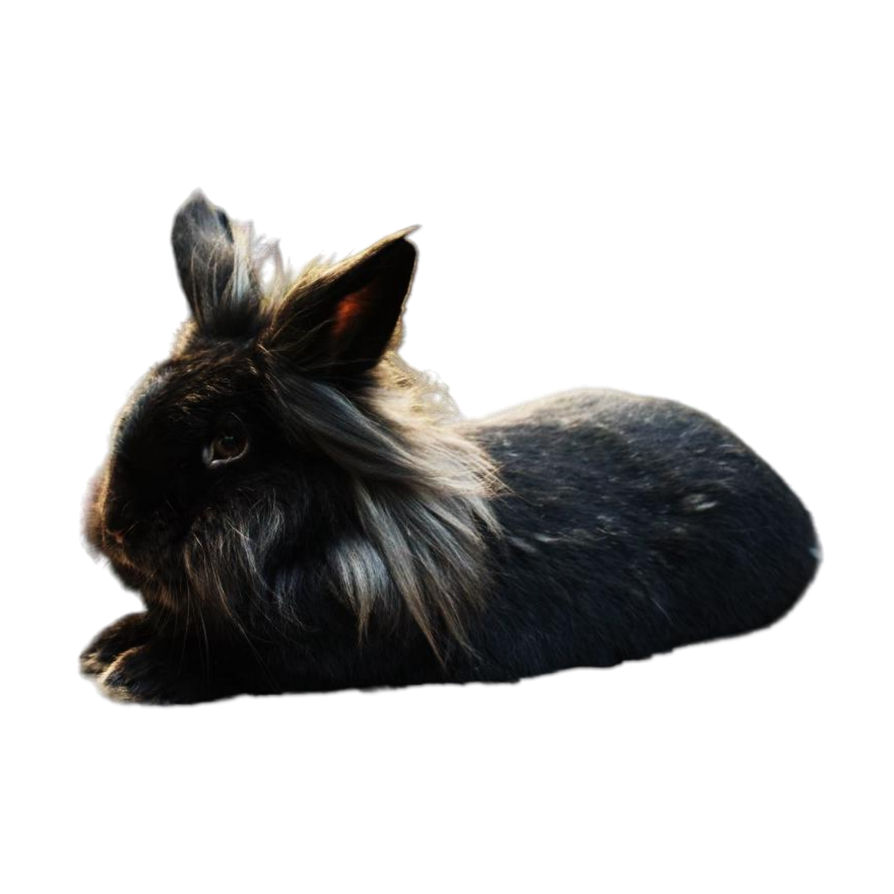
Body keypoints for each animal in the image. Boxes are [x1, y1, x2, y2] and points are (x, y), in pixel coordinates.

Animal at [76, 189, 824, 703]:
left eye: (228, 444)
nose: (119, 528)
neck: (346, 540)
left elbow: (243, 663)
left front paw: (131, 671)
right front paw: (105, 647)